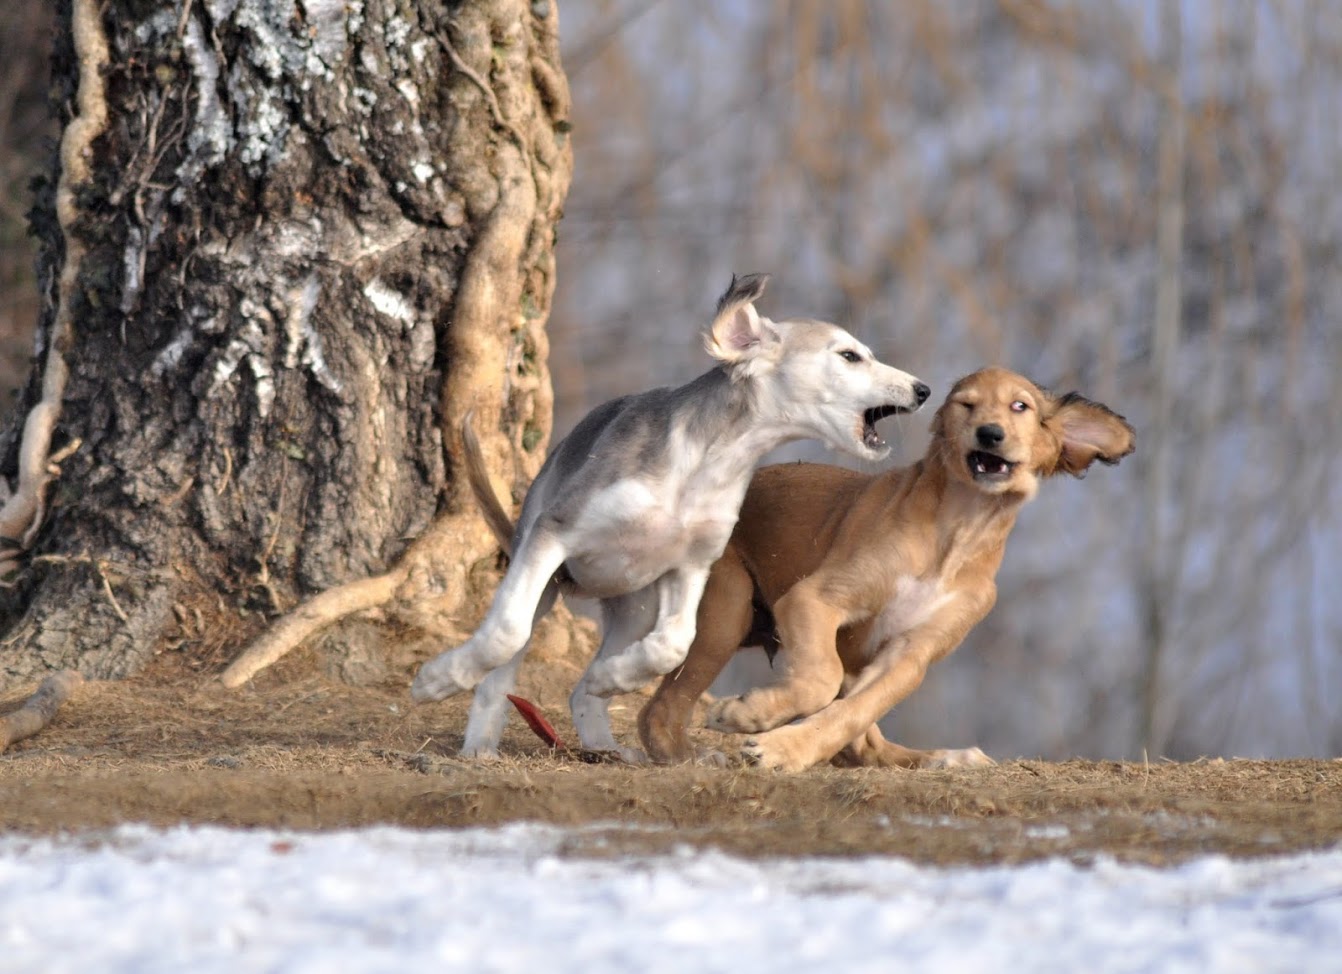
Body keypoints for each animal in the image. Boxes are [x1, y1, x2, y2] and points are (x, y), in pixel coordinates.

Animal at [636, 364, 1132, 772]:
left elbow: (852, 712)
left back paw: (947, 757)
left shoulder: (910, 654)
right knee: (658, 711)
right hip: (724, 612)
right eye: (966, 404)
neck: (959, 528)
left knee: (863, 742)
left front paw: (784, 750)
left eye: (1020, 406)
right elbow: (819, 678)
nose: (990, 434)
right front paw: (747, 714)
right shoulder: (812, 599)